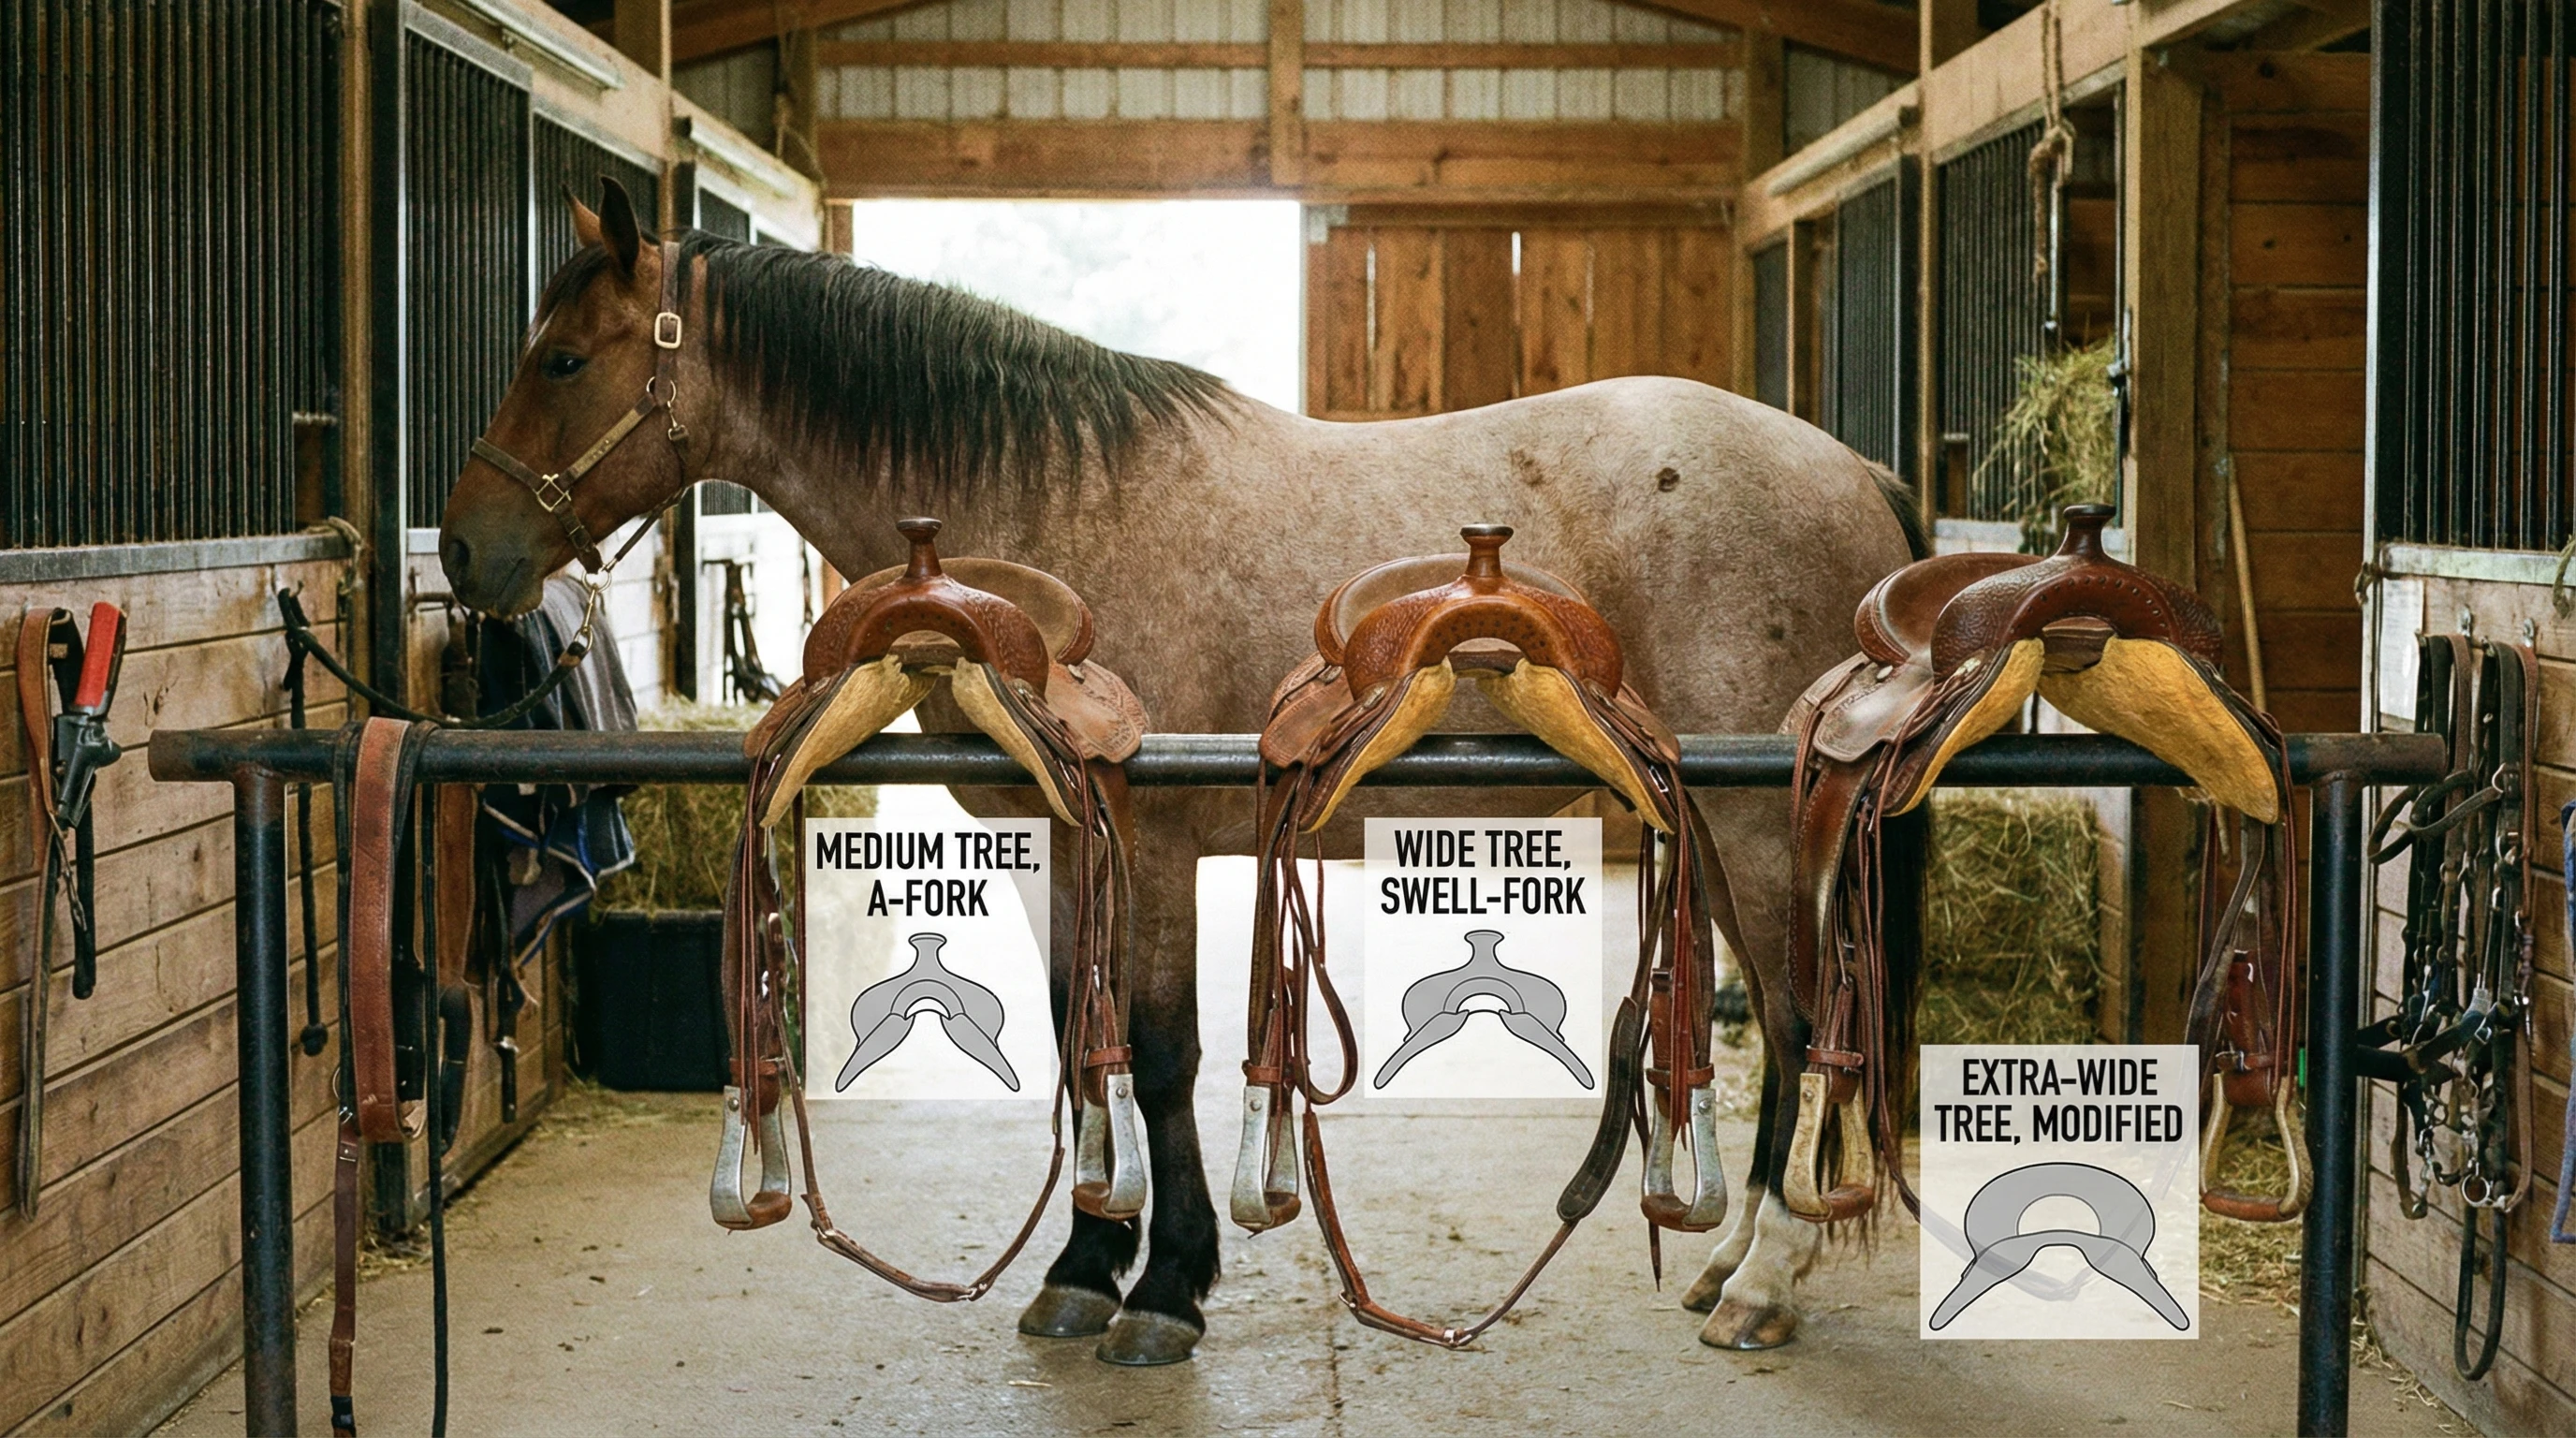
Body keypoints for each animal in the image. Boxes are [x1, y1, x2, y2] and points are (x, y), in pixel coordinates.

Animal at [436, 180, 1922, 1364]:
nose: (461, 551)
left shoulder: (1145, 847)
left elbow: (1154, 1053)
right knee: (1775, 1031)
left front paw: (1164, 1291)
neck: (1043, 522)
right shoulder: (1061, 846)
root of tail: (1858, 471)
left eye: (562, 358)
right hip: (1720, 829)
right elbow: (1074, 1037)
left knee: (1803, 1023)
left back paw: (1764, 1282)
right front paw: (1087, 1268)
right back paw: (1729, 1264)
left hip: (1754, 826)